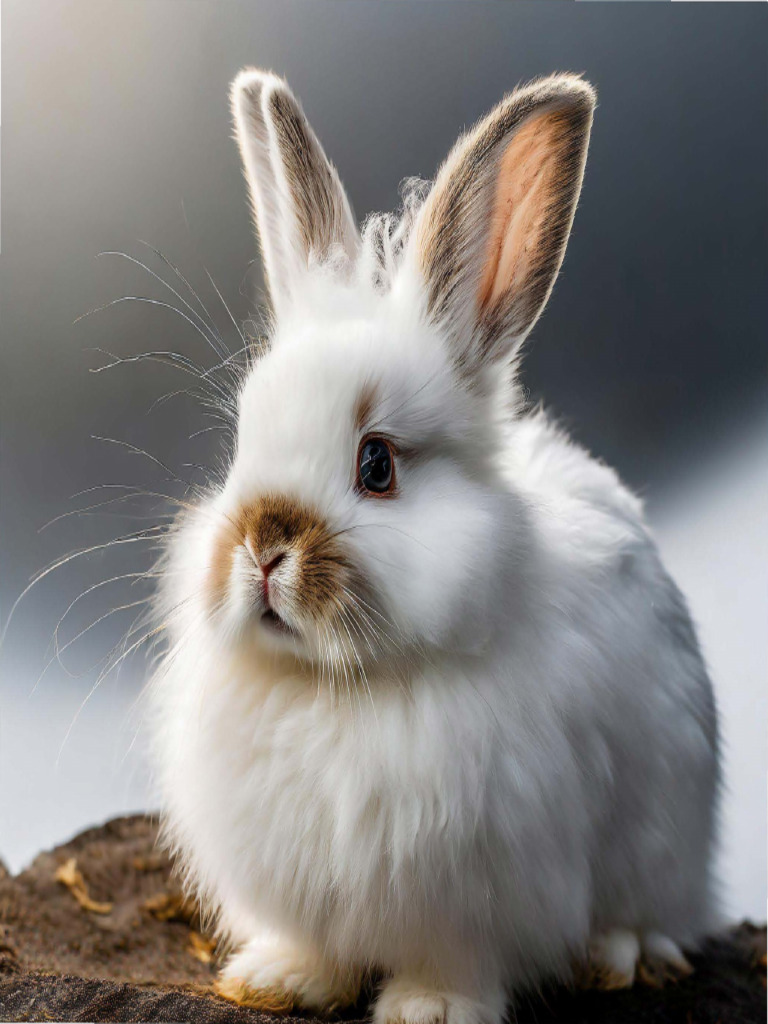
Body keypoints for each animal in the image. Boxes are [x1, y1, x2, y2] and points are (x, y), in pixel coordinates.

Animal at [148, 68, 720, 1024]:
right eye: (240, 446)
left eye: (376, 464)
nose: (263, 546)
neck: (338, 686)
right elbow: (317, 947)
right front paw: (279, 979)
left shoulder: (483, 894)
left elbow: (454, 962)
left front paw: (430, 1010)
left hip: (666, 838)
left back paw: (621, 955)